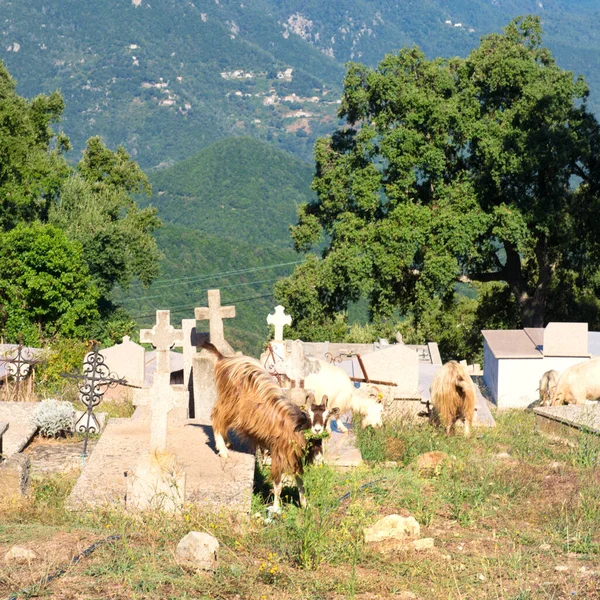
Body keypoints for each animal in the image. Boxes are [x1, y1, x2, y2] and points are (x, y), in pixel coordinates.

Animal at [203, 342, 326, 506]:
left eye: (326, 416)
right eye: (311, 415)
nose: (318, 430)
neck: (295, 426)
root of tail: (223, 359)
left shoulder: (294, 456)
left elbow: (299, 479)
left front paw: (305, 504)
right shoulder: (279, 452)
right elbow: (278, 484)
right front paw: (276, 508)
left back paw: (227, 443)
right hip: (229, 402)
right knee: (216, 417)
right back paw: (223, 450)